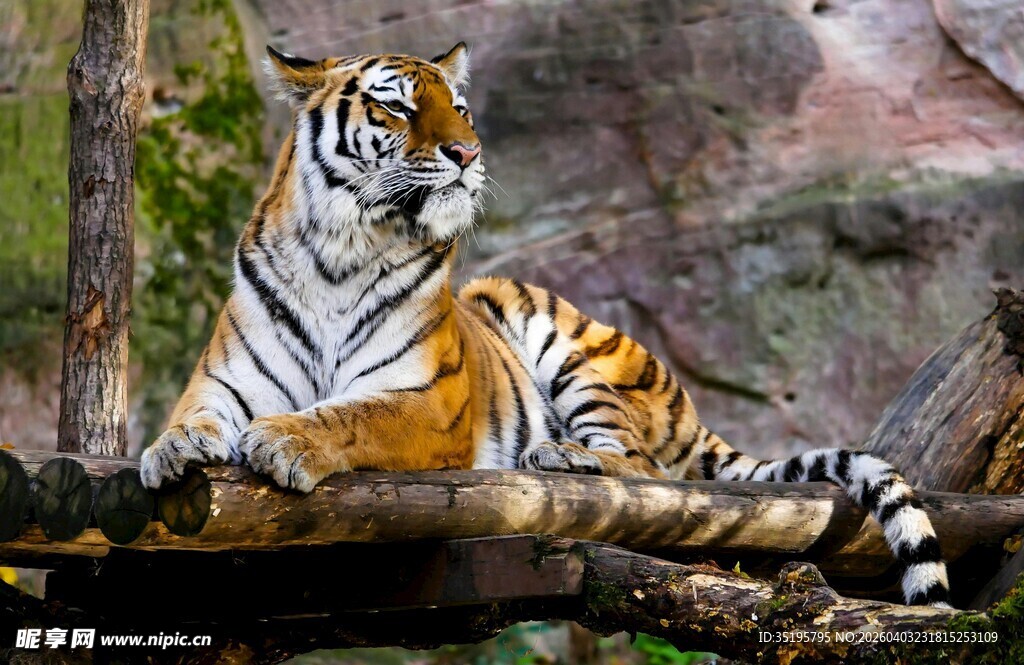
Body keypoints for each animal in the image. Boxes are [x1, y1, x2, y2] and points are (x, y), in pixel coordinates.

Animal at [139, 42, 951, 608]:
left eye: (460, 109)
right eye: (398, 108)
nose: (467, 152)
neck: (340, 252)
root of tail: (689, 407)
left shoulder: (429, 403)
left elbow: (351, 414)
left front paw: (285, 439)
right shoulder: (223, 381)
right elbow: (193, 416)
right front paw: (169, 451)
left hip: (560, 338)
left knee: (646, 470)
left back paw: (561, 457)